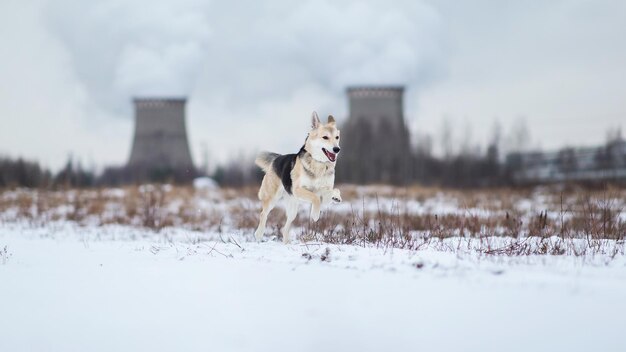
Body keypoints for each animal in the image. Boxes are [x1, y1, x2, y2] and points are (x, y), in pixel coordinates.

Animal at [254, 111, 342, 243]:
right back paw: (259, 235)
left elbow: (333, 190)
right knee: (263, 214)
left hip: (293, 209)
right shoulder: (298, 190)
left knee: (285, 228)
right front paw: (315, 215)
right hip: (272, 198)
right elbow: (315, 197)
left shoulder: (325, 194)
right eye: (325, 137)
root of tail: (277, 158)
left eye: (337, 137)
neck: (319, 164)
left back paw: (287, 243)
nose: (337, 149)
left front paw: (336, 197)